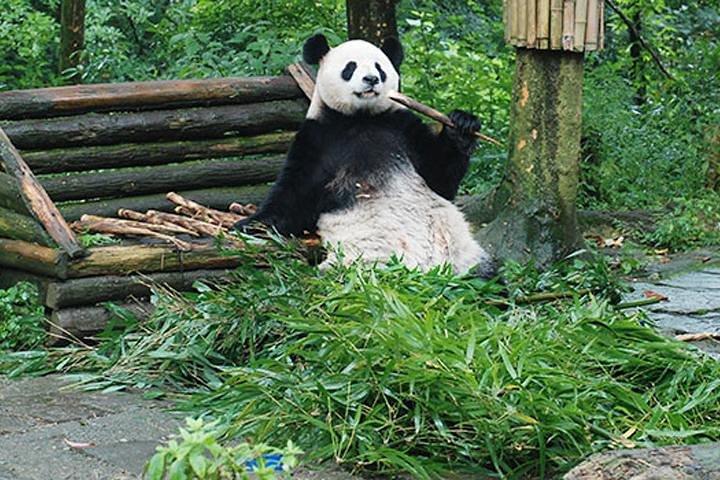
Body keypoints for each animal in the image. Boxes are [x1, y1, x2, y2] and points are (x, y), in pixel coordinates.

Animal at [235, 33, 494, 276]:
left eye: (380, 67)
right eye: (350, 67)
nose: (371, 79)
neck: (361, 118)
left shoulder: (402, 127)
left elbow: (440, 177)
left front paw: (462, 124)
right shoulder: (318, 138)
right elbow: (294, 195)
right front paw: (251, 224)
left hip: (463, 252)